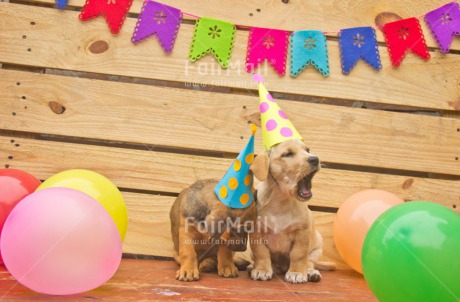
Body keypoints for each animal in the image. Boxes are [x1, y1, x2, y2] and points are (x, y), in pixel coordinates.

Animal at [248, 139, 334, 284]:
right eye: (287, 154)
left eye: (308, 150)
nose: (315, 159)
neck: (281, 202)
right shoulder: (256, 233)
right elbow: (262, 254)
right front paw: (262, 270)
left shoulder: (302, 233)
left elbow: (298, 255)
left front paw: (297, 272)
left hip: (316, 249)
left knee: (309, 263)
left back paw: (311, 273)